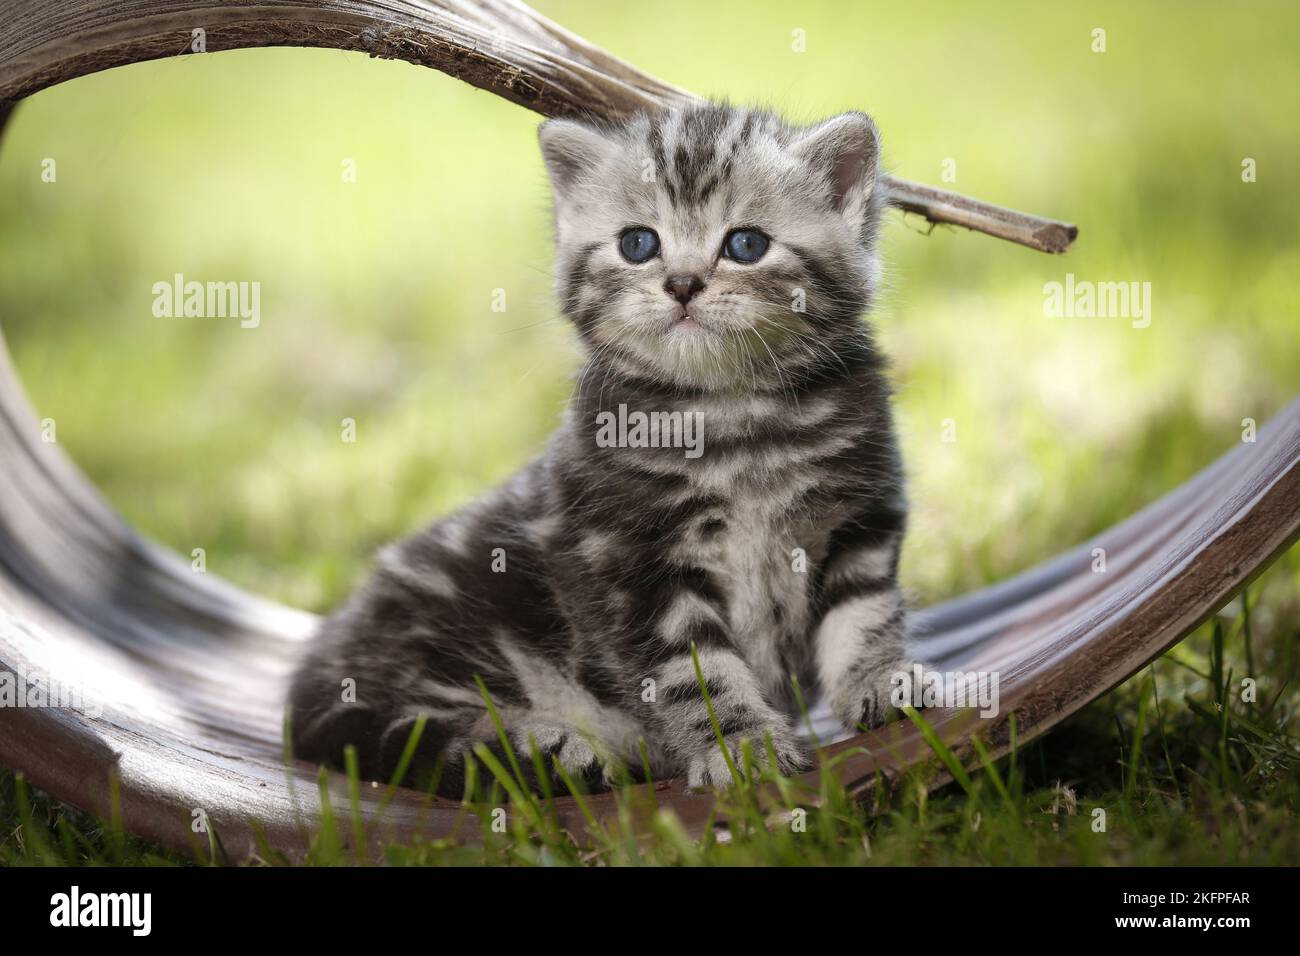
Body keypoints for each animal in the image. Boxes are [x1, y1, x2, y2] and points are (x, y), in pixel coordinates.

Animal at [287, 102, 915, 790]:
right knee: (428, 741)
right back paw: (552, 750)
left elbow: (864, 616)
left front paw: (882, 683)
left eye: (746, 244)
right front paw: (741, 748)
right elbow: (695, 674)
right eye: (638, 244)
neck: (733, 418)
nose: (683, 283)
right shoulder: (630, 565)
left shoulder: (861, 519)